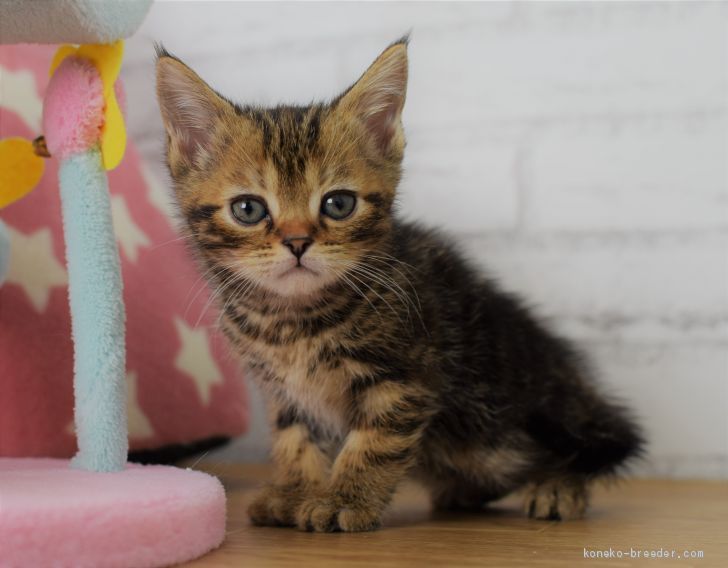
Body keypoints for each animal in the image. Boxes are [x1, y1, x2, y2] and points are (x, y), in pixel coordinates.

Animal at [155, 37, 644, 532]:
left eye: (338, 204)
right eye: (249, 209)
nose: (297, 242)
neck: (293, 320)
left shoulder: (406, 376)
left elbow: (374, 443)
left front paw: (343, 499)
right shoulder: (286, 392)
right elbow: (294, 438)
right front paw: (294, 491)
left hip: (531, 415)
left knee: (591, 448)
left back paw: (557, 486)